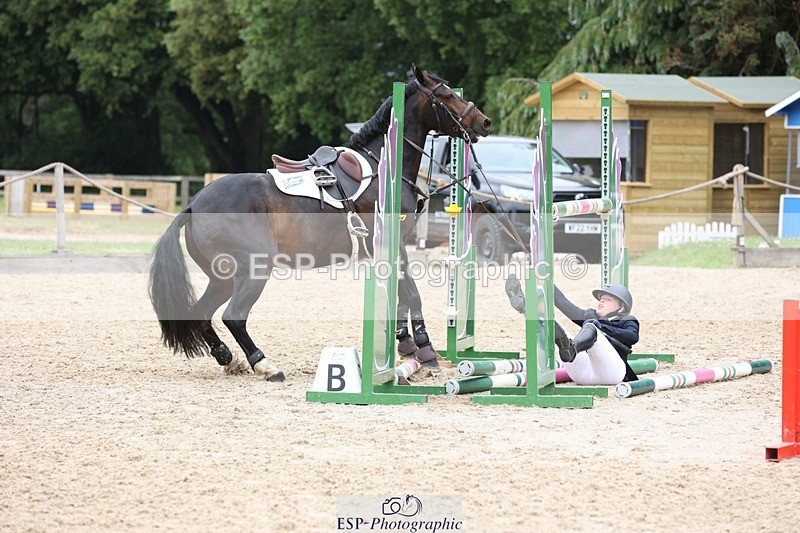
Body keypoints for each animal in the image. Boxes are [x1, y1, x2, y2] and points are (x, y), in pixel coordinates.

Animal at [148, 65, 492, 381]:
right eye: (446, 96)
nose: (484, 122)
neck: (385, 167)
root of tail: (193, 204)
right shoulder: (394, 244)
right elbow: (411, 294)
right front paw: (425, 348)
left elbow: (401, 296)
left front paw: (406, 344)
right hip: (253, 269)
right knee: (234, 316)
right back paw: (265, 365)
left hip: (221, 277)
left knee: (202, 314)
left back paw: (226, 357)